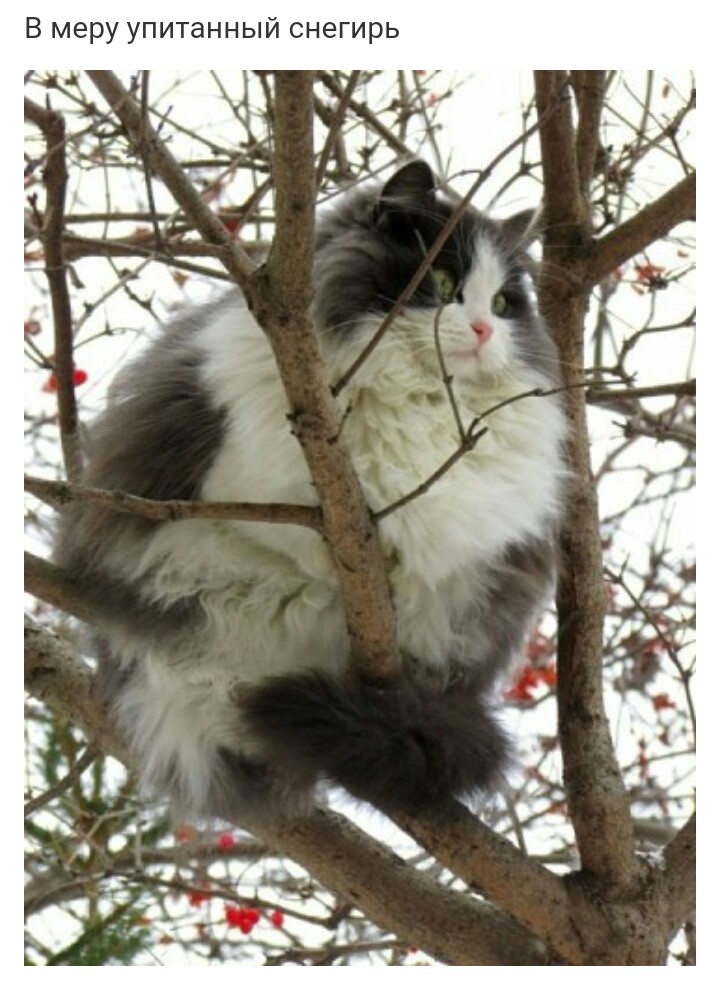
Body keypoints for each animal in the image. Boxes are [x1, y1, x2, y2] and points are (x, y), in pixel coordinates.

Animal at [55, 160, 567, 822]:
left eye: (504, 305)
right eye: (444, 280)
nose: (481, 329)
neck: (418, 396)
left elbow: (429, 549)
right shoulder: (240, 473)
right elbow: (295, 531)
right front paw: (349, 560)